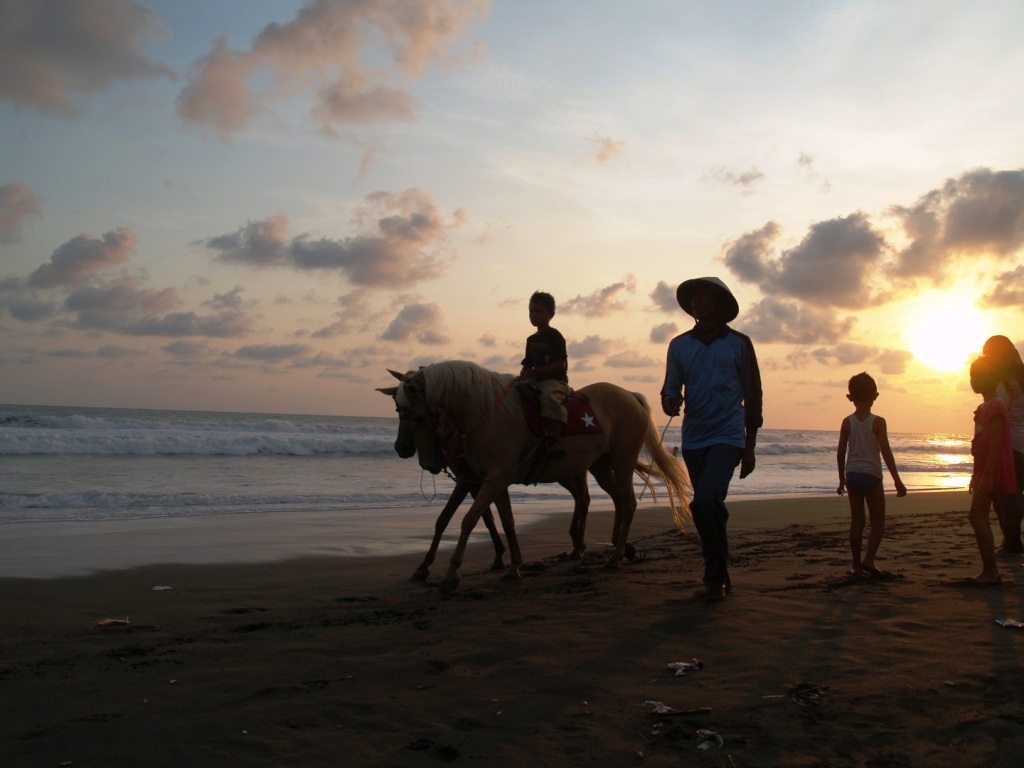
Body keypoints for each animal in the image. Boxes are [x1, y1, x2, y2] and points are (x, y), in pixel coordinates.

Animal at [385, 362, 696, 593]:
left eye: (418, 417)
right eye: (398, 412)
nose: (403, 450)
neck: (484, 413)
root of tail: (630, 395)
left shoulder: (490, 480)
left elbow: (469, 520)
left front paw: (451, 573)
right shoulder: (491, 482)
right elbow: (503, 522)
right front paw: (514, 566)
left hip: (621, 461)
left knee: (625, 503)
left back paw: (613, 557)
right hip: (600, 466)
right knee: (616, 501)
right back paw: (615, 548)